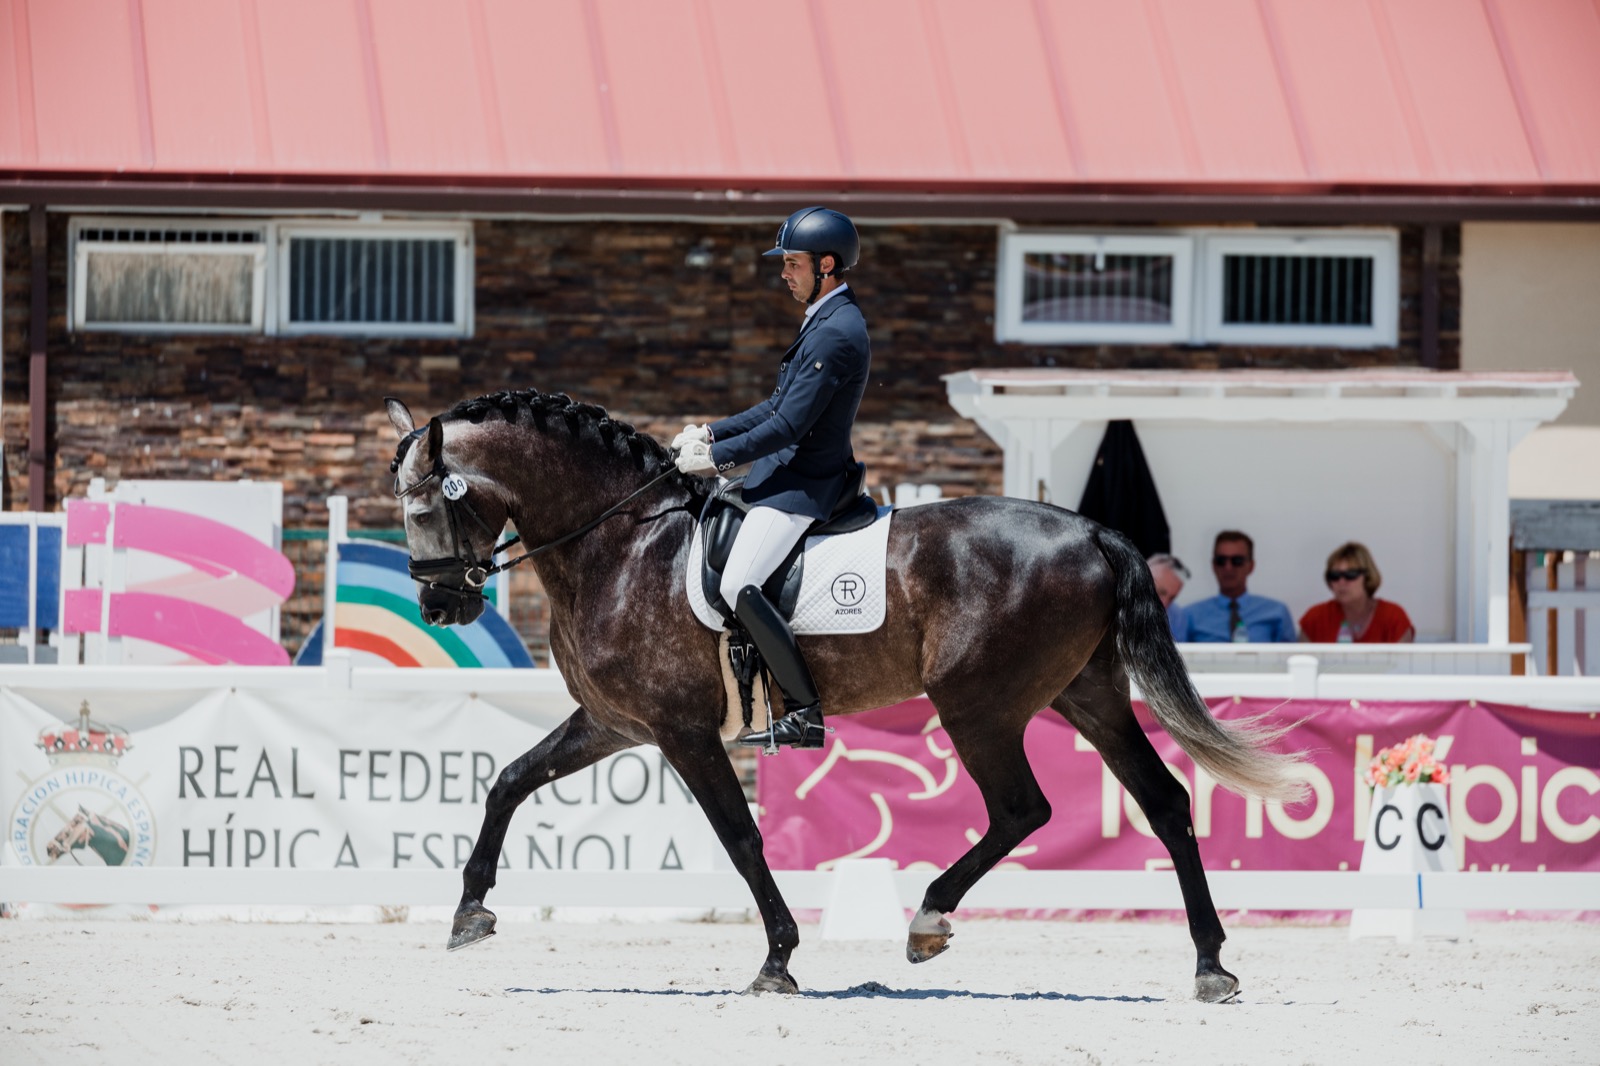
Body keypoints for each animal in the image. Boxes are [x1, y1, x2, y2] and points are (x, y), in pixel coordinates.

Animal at [390, 388, 1312, 998]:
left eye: (423, 511)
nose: (441, 608)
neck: (621, 545)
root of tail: (1092, 529)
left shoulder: (682, 732)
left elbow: (740, 838)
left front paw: (777, 960)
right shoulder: (614, 724)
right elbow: (508, 782)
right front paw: (469, 914)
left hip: (978, 704)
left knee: (1023, 809)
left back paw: (928, 922)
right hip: (1087, 695)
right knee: (1163, 802)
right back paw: (1211, 964)